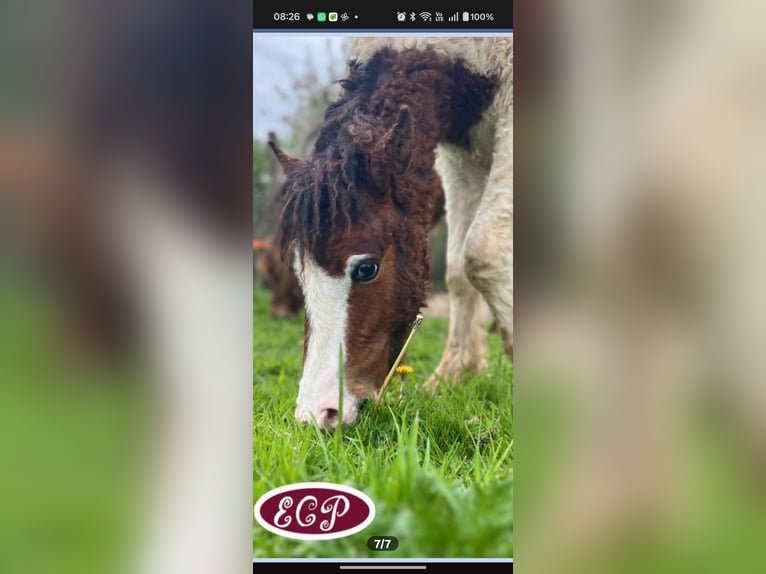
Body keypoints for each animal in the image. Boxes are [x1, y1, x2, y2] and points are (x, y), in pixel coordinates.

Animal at [269, 37, 513, 428]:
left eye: (367, 268)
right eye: (298, 273)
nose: (317, 414)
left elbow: (483, 251)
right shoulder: (462, 154)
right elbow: (459, 270)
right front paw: (455, 373)